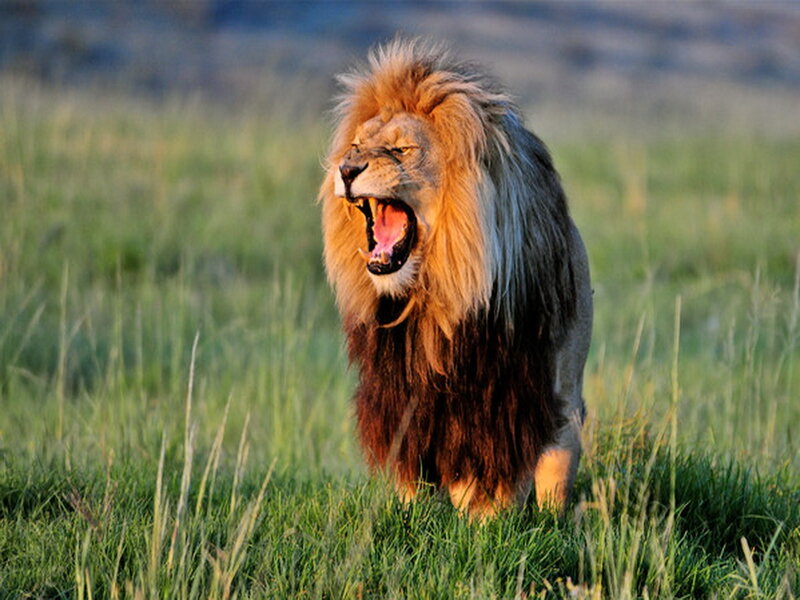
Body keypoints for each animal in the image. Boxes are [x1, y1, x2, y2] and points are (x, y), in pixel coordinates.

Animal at [319, 39, 592, 519]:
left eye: (402, 150)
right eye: (354, 145)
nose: (346, 170)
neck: (434, 289)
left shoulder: (500, 393)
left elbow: (493, 475)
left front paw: (487, 524)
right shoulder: (402, 396)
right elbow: (412, 468)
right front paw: (413, 516)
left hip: (563, 389)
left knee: (557, 460)